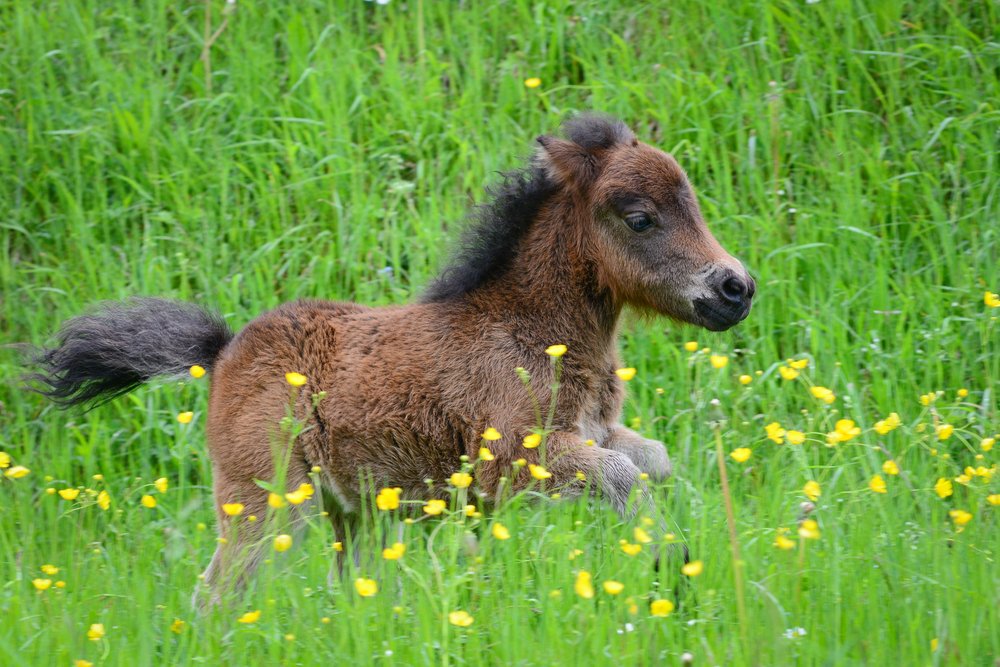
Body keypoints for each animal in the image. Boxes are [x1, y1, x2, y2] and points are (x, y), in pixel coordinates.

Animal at [32, 114, 755, 599]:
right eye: (639, 217)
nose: (735, 289)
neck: (525, 328)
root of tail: (224, 350)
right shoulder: (515, 461)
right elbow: (623, 476)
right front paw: (671, 566)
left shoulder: (594, 432)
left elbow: (653, 461)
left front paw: (679, 557)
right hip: (264, 502)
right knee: (221, 590)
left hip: (349, 512)